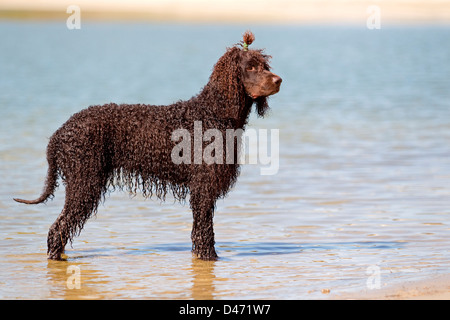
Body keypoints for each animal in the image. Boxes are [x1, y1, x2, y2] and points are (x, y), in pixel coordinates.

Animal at [13, 30, 282, 260]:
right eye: (251, 67)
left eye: (265, 66)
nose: (279, 80)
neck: (214, 112)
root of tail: (59, 133)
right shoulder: (203, 187)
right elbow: (204, 230)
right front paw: (208, 258)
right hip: (83, 182)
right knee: (58, 228)